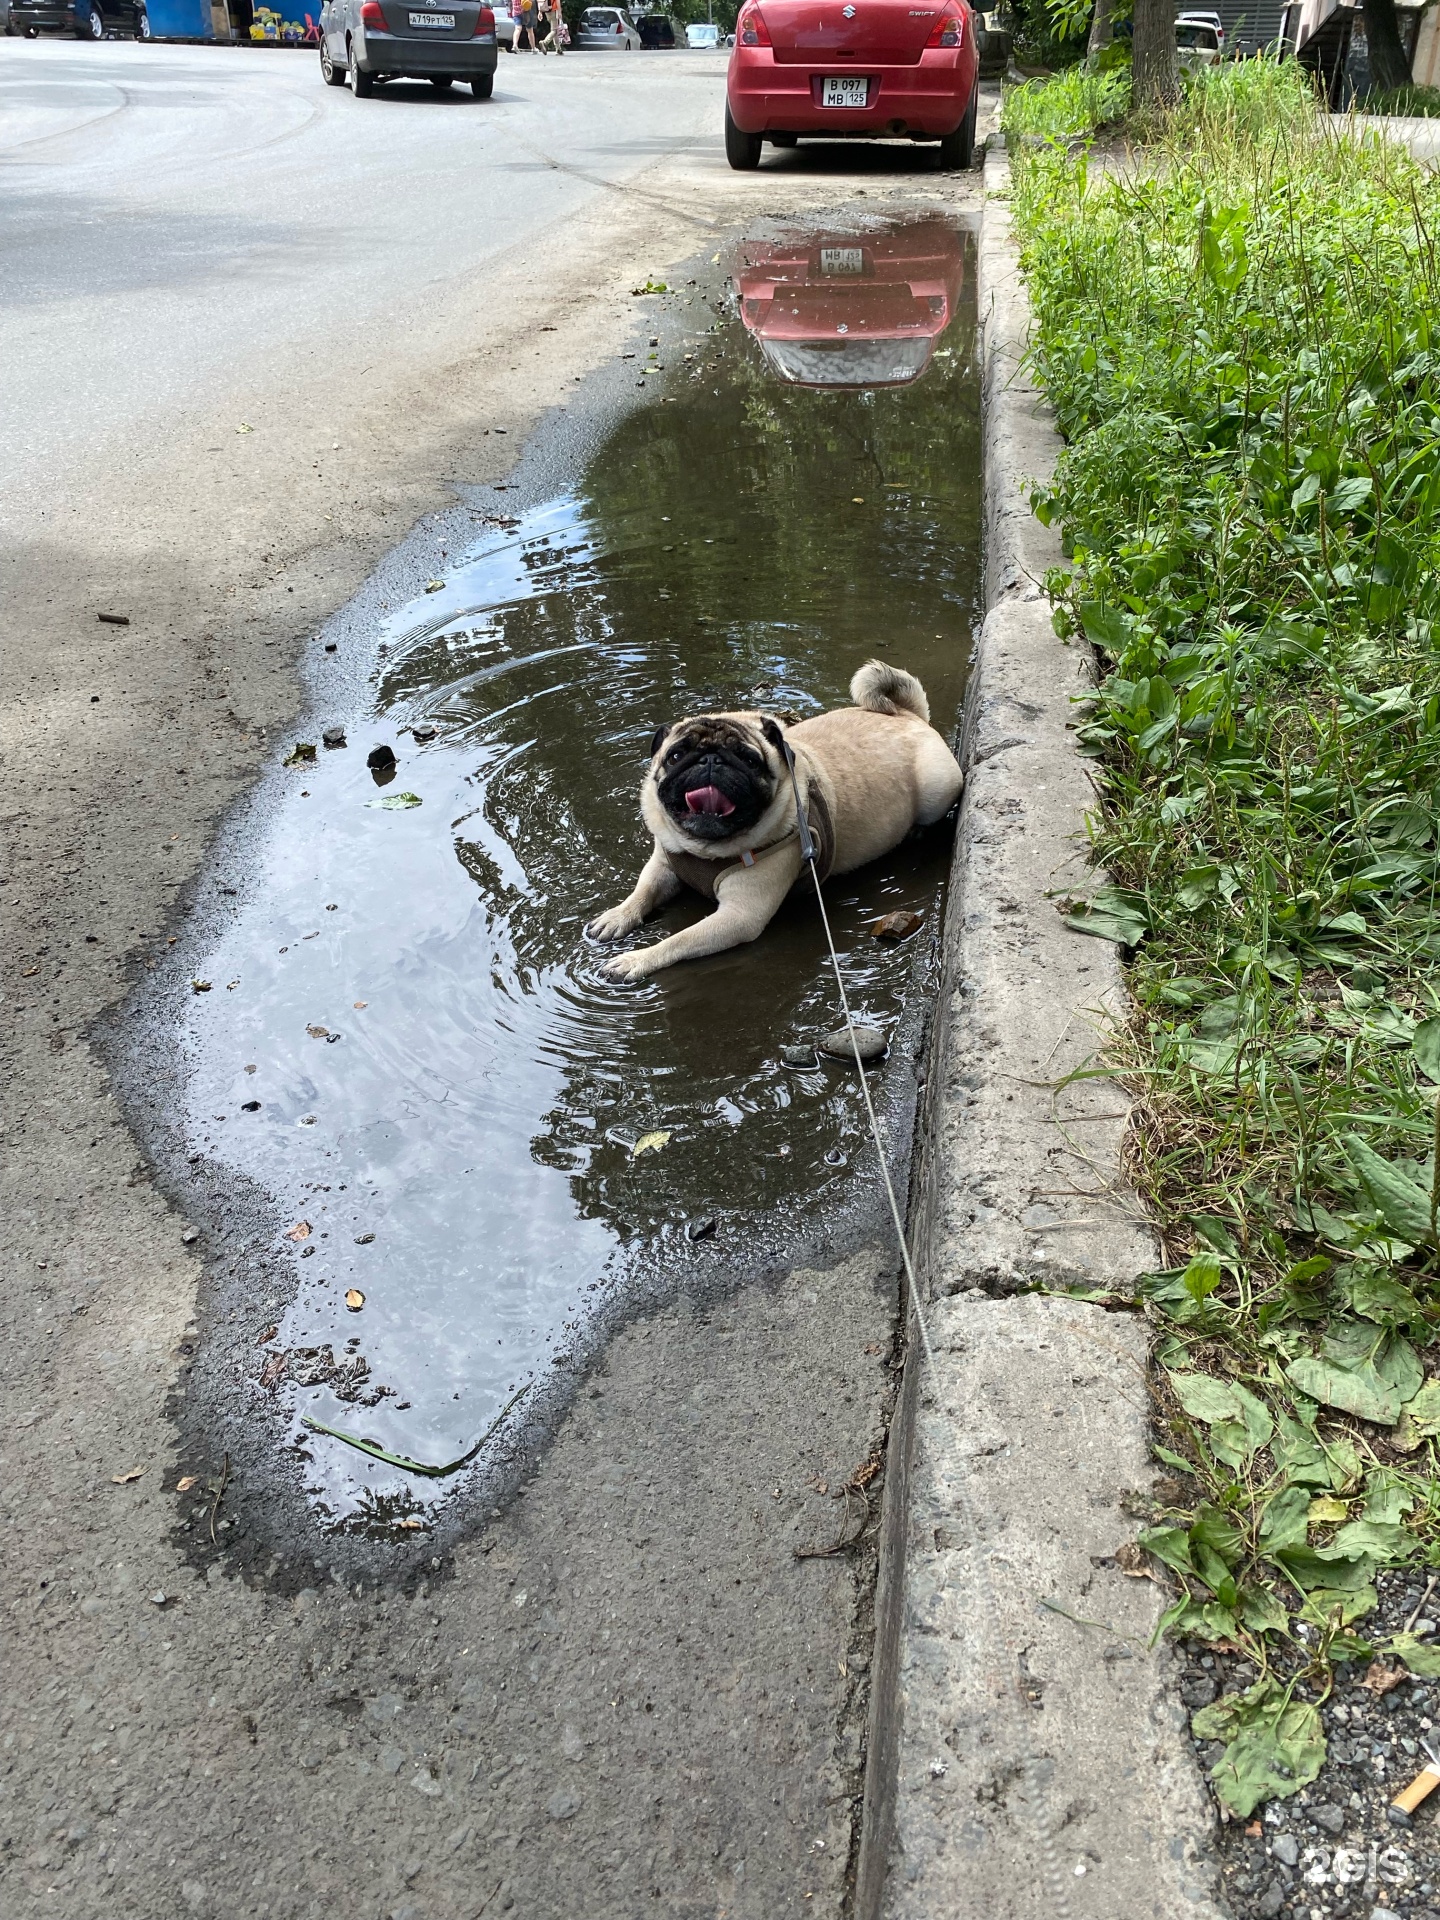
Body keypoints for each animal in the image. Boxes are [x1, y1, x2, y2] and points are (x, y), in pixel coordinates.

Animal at [587, 668, 971, 983]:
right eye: (676, 756)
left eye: (747, 759)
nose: (710, 760)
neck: (706, 849)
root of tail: (908, 714)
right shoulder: (665, 862)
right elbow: (643, 891)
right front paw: (616, 917)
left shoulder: (739, 916)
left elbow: (680, 939)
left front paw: (636, 959)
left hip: (938, 788)